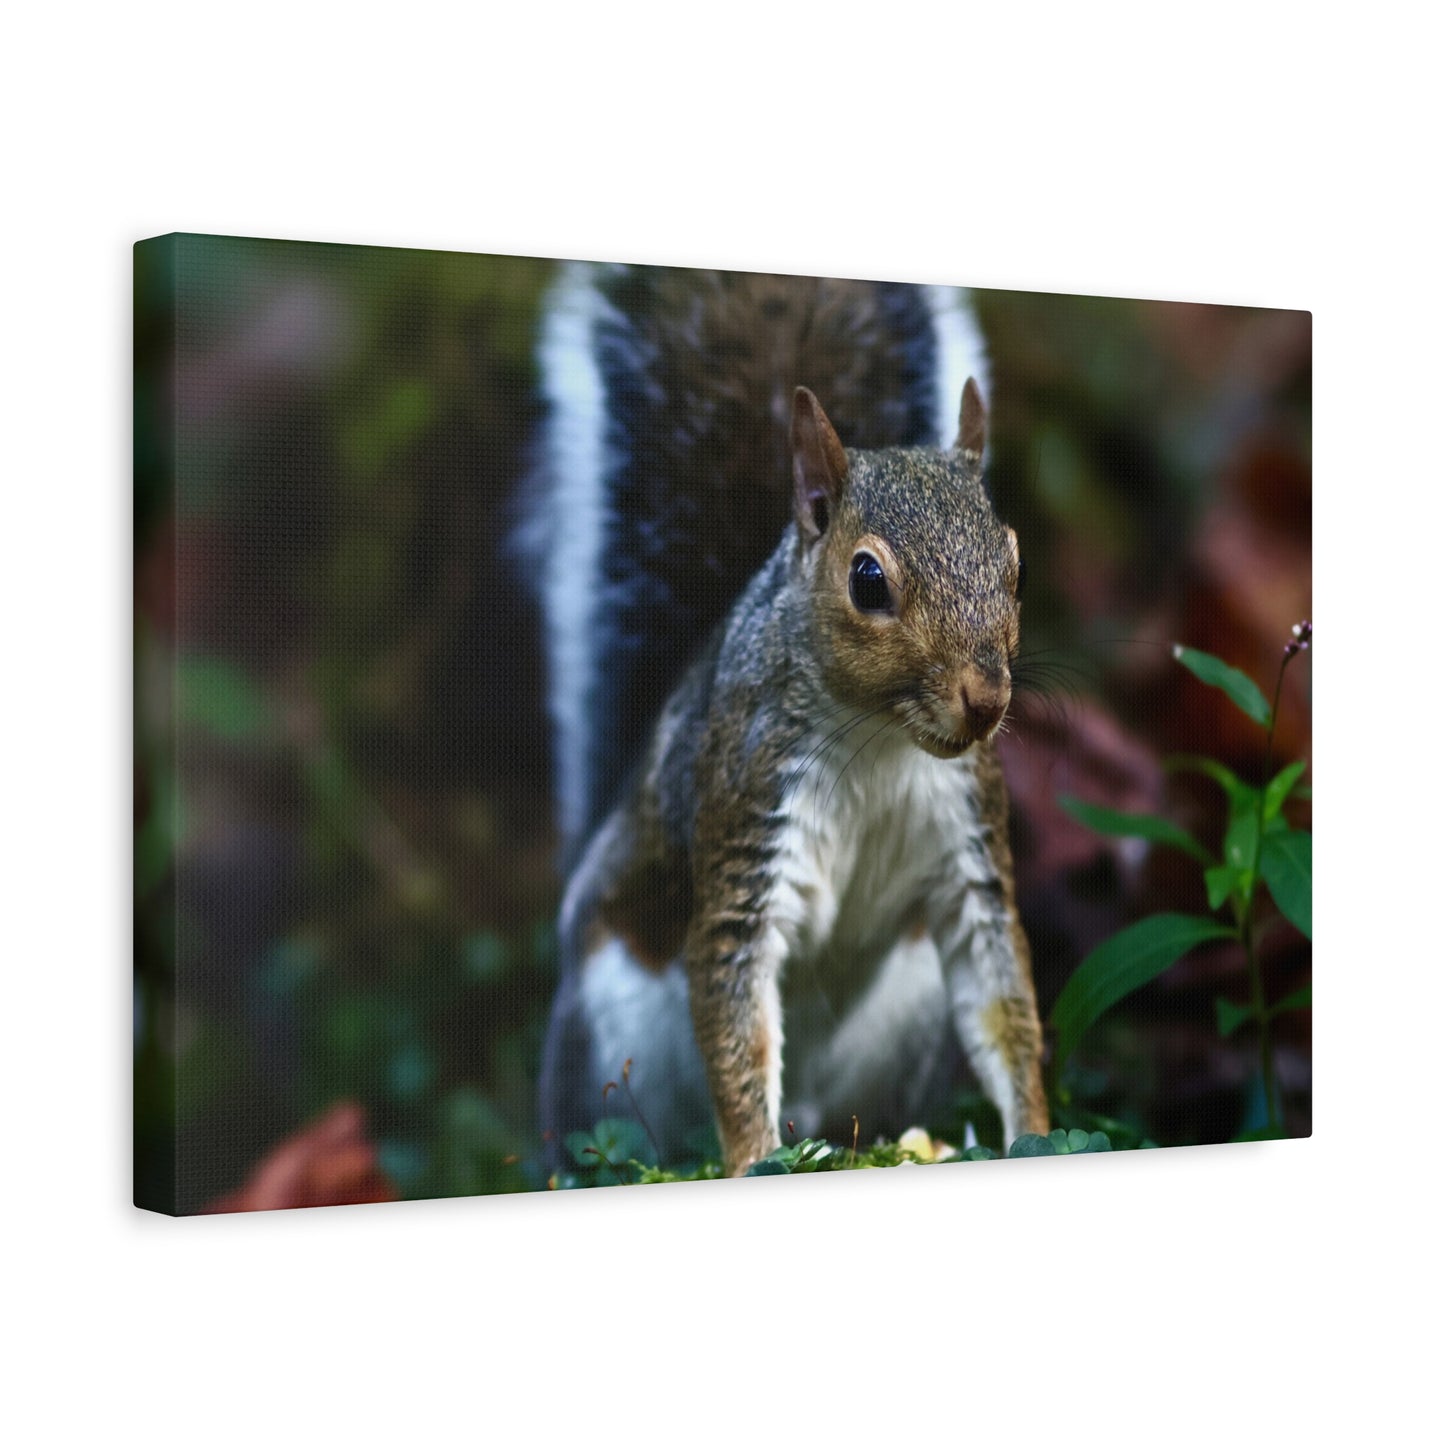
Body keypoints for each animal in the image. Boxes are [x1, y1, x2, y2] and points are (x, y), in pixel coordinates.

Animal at [527, 263, 1049, 1177]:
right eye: (867, 579)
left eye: (1014, 564)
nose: (985, 699)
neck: (879, 739)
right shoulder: (748, 808)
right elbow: (735, 1009)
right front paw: (751, 1157)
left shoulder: (968, 843)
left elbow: (1001, 999)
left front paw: (1036, 1130)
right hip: (605, 1025)